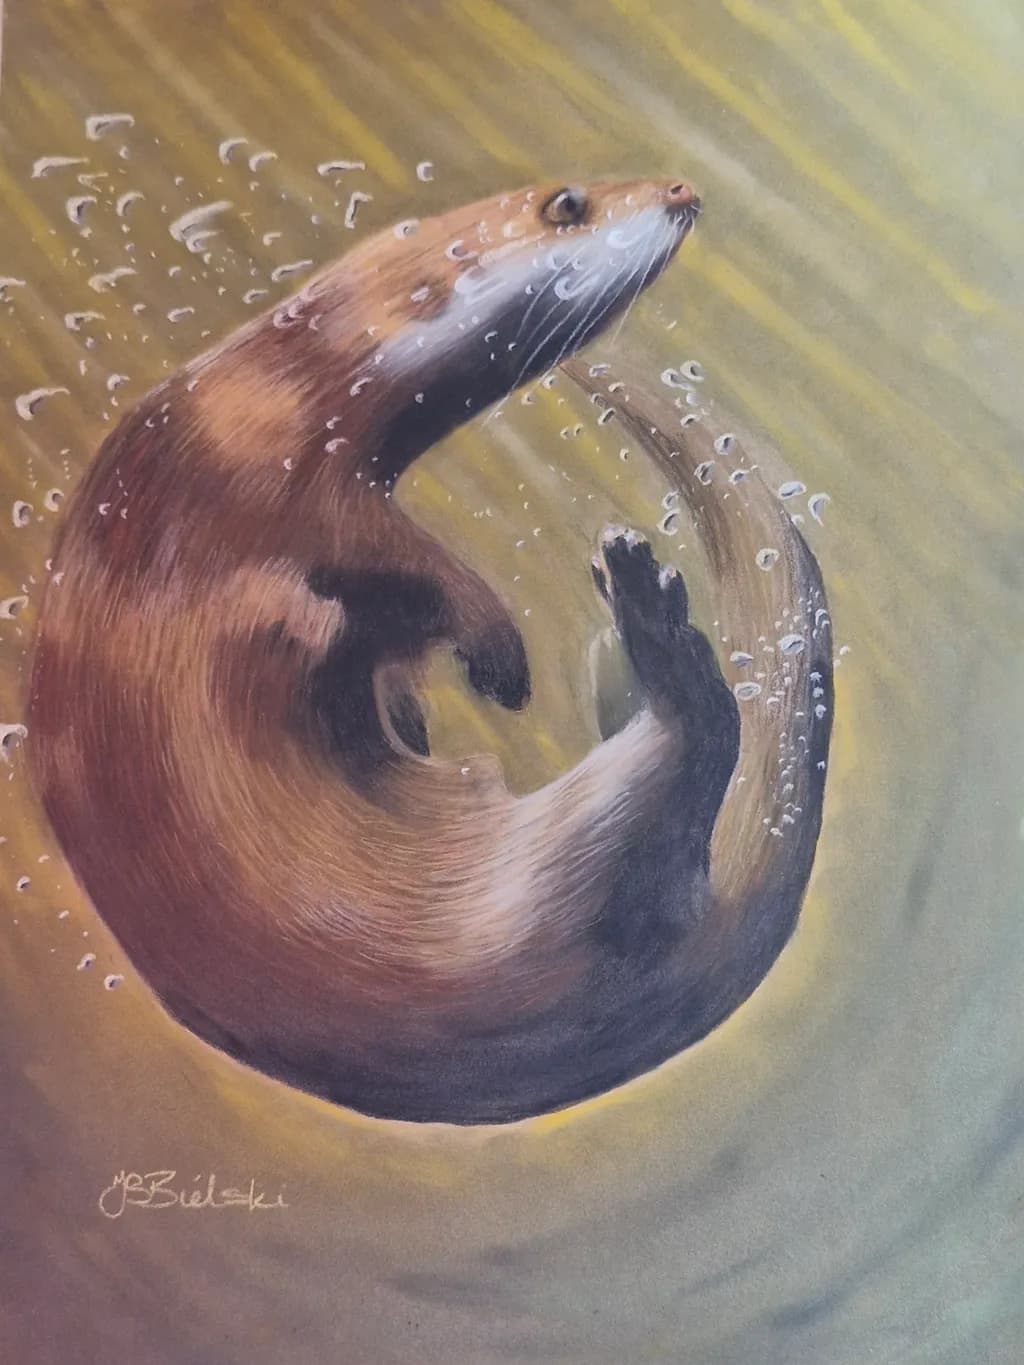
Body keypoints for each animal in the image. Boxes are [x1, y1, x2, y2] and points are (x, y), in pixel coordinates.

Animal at [28, 178, 832, 1124]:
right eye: (568, 201)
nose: (680, 187)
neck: (268, 397)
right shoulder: (280, 502)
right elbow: (413, 577)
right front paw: (500, 660)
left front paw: (427, 696)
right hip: (540, 908)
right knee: (696, 740)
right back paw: (649, 619)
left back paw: (622, 647)